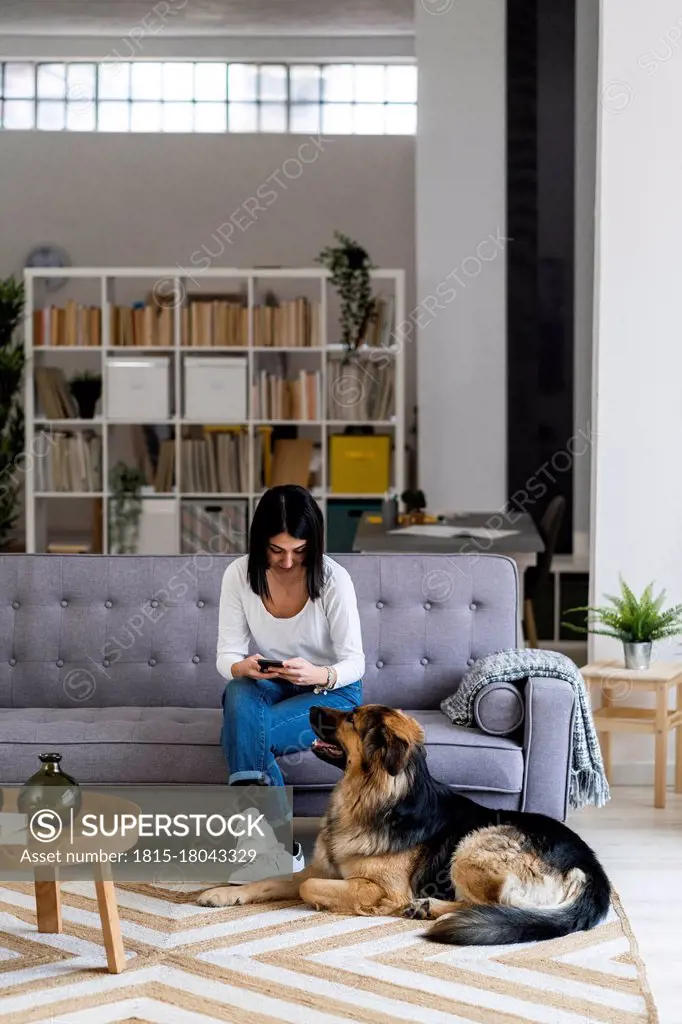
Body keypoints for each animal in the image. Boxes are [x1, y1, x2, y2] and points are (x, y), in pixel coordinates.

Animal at [197, 704, 610, 942]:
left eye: (351, 718)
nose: (312, 699)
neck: (370, 796)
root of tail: (593, 870)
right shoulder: (319, 868)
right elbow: (272, 881)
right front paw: (221, 894)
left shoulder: (380, 888)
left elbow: (307, 887)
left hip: (475, 846)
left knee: (498, 905)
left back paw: (429, 908)